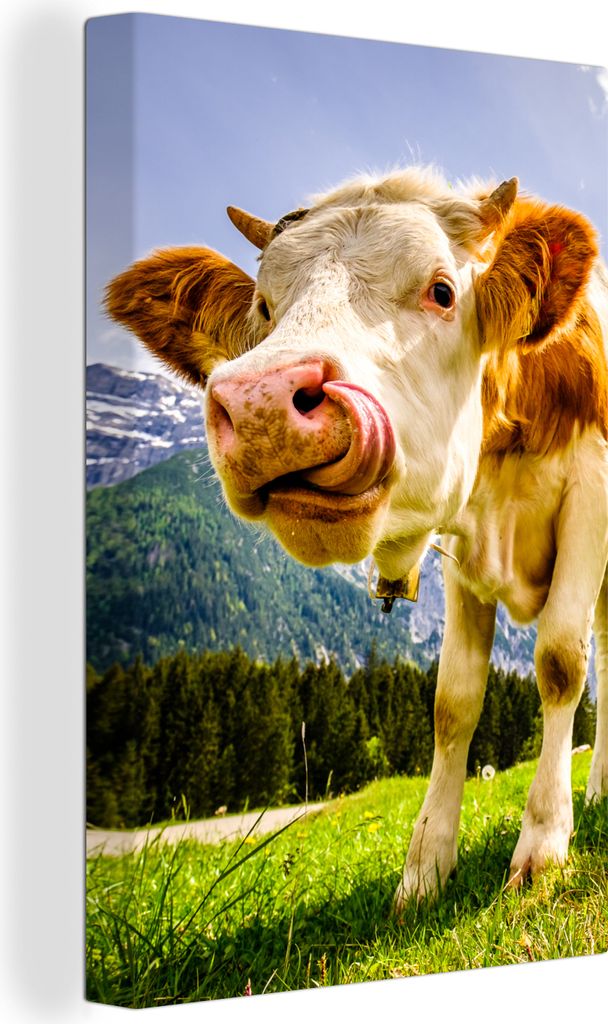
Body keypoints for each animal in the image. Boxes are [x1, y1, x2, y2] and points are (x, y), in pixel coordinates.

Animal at [106, 166, 608, 907]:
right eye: (263, 306)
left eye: (442, 291)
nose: (261, 404)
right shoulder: (460, 547)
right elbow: (453, 702)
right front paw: (424, 869)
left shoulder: (590, 494)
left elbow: (559, 664)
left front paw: (543, 847)